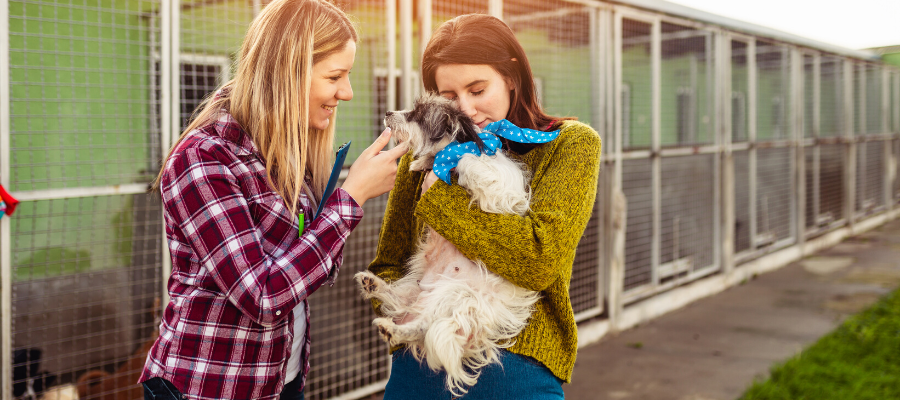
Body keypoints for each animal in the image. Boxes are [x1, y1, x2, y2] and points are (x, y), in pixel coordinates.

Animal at [356, 94, 540, 396]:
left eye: (418, 114)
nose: (388, 112)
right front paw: (423, 163)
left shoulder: (497, 191)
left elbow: (470, 161)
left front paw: (455, 160)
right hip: (416, 289)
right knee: (405, 310)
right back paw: (375, 289)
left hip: (456, 297)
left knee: (423, 326)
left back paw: (393, 328)